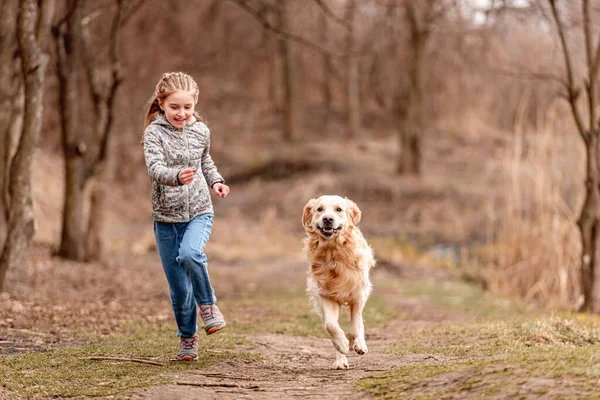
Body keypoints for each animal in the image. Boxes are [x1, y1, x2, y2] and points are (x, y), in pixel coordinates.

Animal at [302, 195, 372, 370]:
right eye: (319, 209)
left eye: (339, 209)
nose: (328, 219)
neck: (334, 252)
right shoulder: (326, 296)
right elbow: (331, 326)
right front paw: (342, 345)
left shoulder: (358, 294)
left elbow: (355, 326)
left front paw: (354, 343)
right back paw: (341, 360)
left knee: (359, 322)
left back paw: (360, 345)